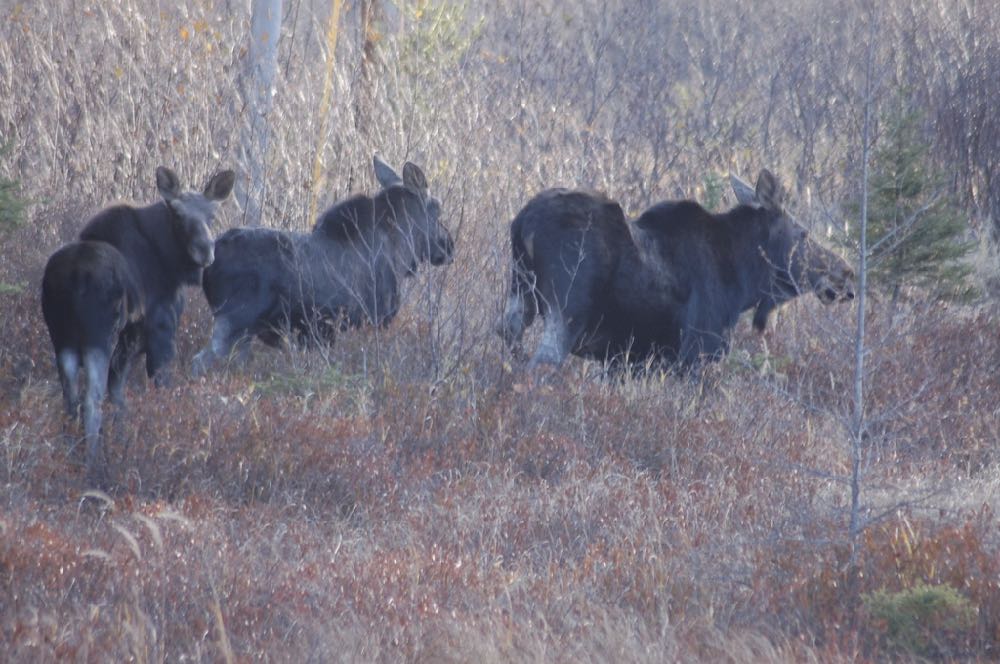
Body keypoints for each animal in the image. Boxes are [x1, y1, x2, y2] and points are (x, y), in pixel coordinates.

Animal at [41, 166, 236, 482]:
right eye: (178, 214)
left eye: (213, 214)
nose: (205, 250)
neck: (170, 266)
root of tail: (71, 277)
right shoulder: (161, 335)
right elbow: (162, 393)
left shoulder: (127, 348)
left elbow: (119, 398)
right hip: (97, 339)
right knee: (90, 400)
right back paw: (92, 465)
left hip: (62, 339)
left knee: (69, 400)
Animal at [192, 156, 458, 374]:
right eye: (437, 209)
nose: (448, 245)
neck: (402, 251)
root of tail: (209, 265)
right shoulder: (372, 320)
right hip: (235, 320)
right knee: (200, 361)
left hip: (245, 332)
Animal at [496, 170, 856, 374]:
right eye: (803, 233)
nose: (846, 273)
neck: (744, 284)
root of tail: (524, 221)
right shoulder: (697, 351)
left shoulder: (628, 361)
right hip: (567, 309)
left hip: (519, 294)